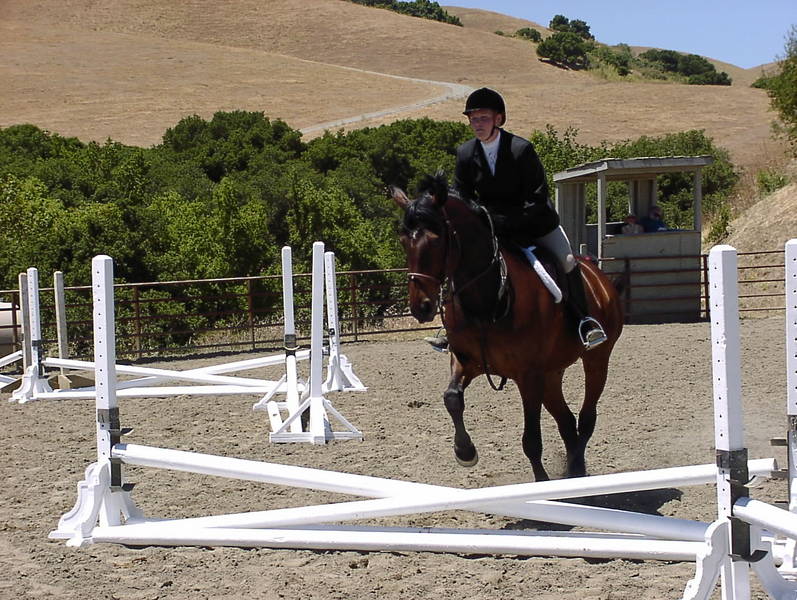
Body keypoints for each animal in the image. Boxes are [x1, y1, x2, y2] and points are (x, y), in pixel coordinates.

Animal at [391, 174, 624, 481]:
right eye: (403, 241)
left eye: (436, 240)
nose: (422, 307)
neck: (488, 300)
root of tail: (598, 276)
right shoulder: (466, 361)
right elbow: (452, 398)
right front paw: (465, 452)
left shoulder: (528, 376)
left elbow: (532, 441)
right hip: (552, 373)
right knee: (566, 421)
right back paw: (574, 471)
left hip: (596, 359)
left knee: (586, 419)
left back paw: (575, 470)